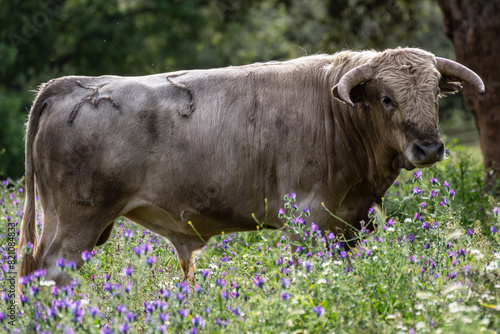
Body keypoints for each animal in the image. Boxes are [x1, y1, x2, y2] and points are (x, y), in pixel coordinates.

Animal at [17, 47, 482, 288]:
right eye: (387, 98)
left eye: (435, 94)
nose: (429, 147)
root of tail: (69, 85)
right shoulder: (307, 220)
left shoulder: (349, 221)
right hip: (77, 225)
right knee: (49, 276)